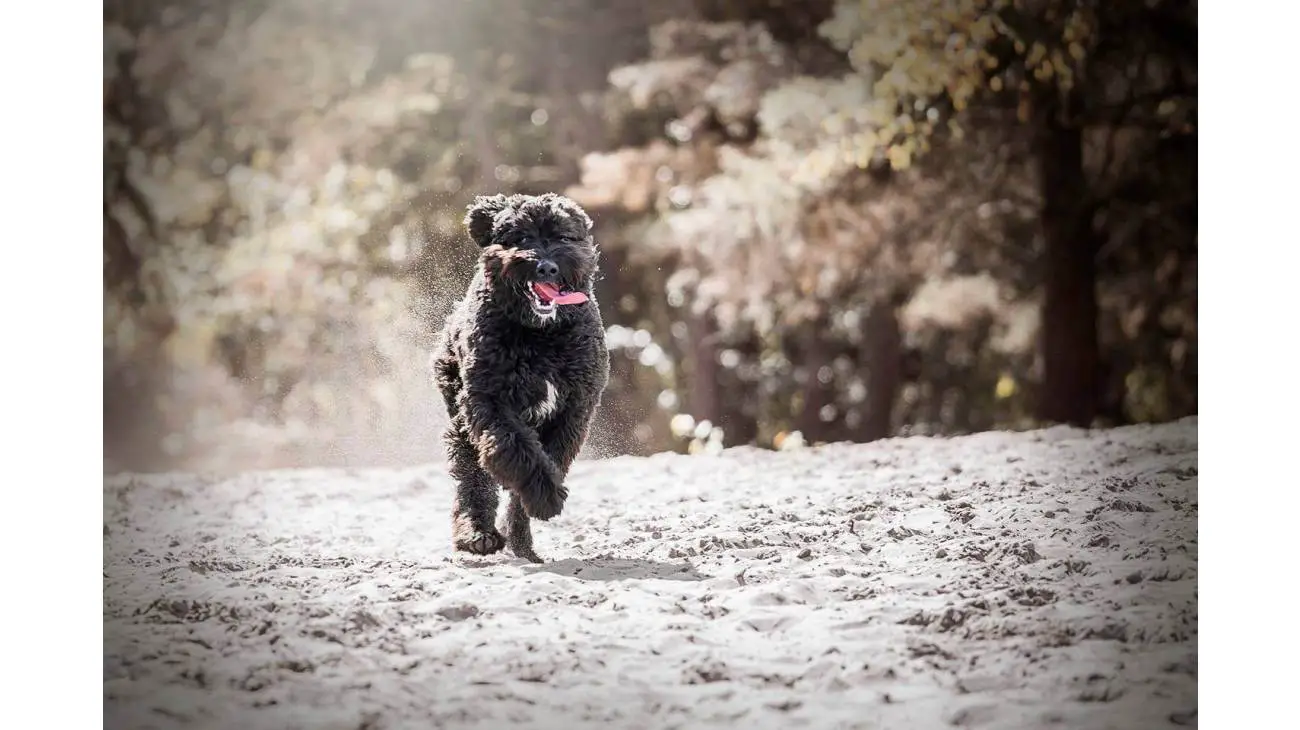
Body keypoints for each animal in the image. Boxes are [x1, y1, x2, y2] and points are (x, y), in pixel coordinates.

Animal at [428, 190, 605, 558]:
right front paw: (546, 496)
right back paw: (476, 533)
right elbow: (515, 450)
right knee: (472, 477)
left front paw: (533, 511)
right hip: (459, 418)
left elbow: (549, 459)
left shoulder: (573, 411)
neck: (541, 337)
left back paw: (520, 544)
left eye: (563, 237)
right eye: (520, 237)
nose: (546, 265)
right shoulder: (489, 403)